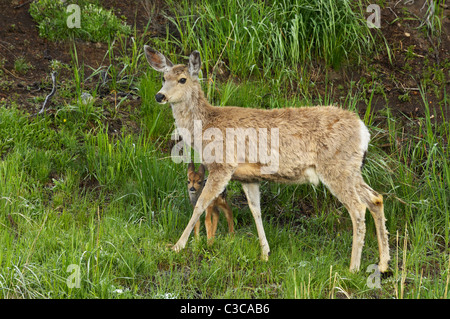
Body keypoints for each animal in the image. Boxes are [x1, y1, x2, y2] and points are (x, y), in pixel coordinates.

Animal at [145, 46, 390, 274]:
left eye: (182, 79)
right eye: (163, 78)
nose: (159, 96)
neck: (206, 125)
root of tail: (363, 130)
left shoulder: (222, 165)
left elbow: (200, 204)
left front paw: (177, 246)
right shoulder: (248, 177)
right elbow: (256, 210)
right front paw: (265, 253)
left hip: (336, 166)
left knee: (358, 208)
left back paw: (353, 267)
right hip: (352, 168)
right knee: (375, 198)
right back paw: (384, 264)